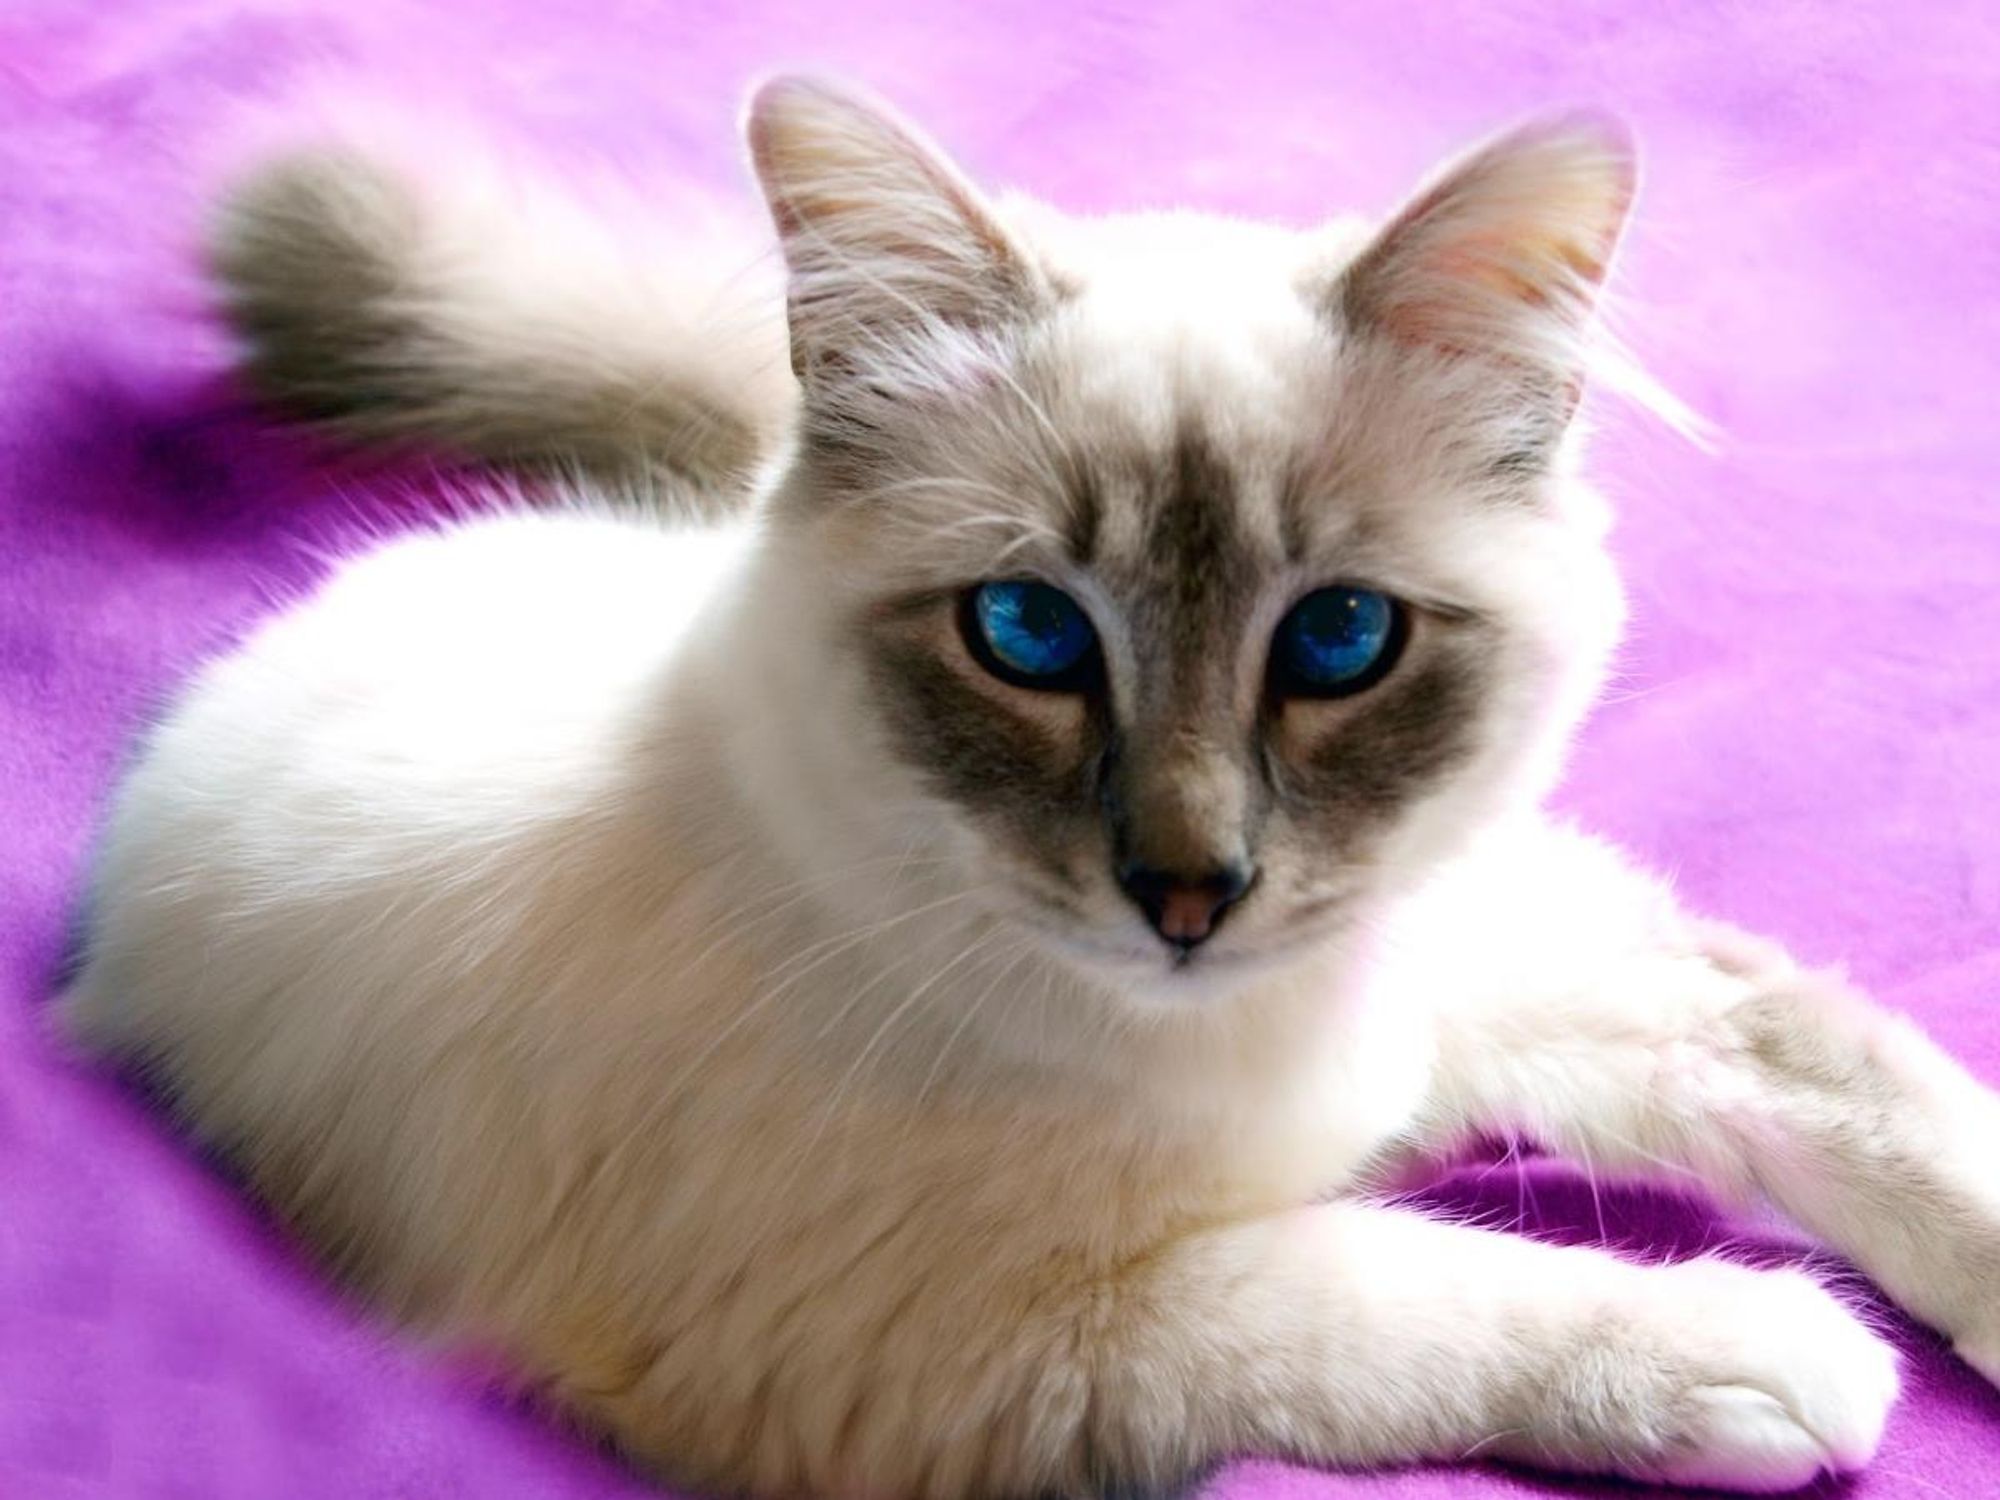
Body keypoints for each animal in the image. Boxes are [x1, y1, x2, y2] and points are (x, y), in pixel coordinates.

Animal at [58, 73, 2000, 1500]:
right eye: (1028, 636)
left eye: (1341, 641)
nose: (1190, 893)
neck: (1272, 1044)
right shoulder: (976, 1344)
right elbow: (1416, 1291)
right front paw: (1782, 1357)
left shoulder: (1460, 967)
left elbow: (1817, 1068)